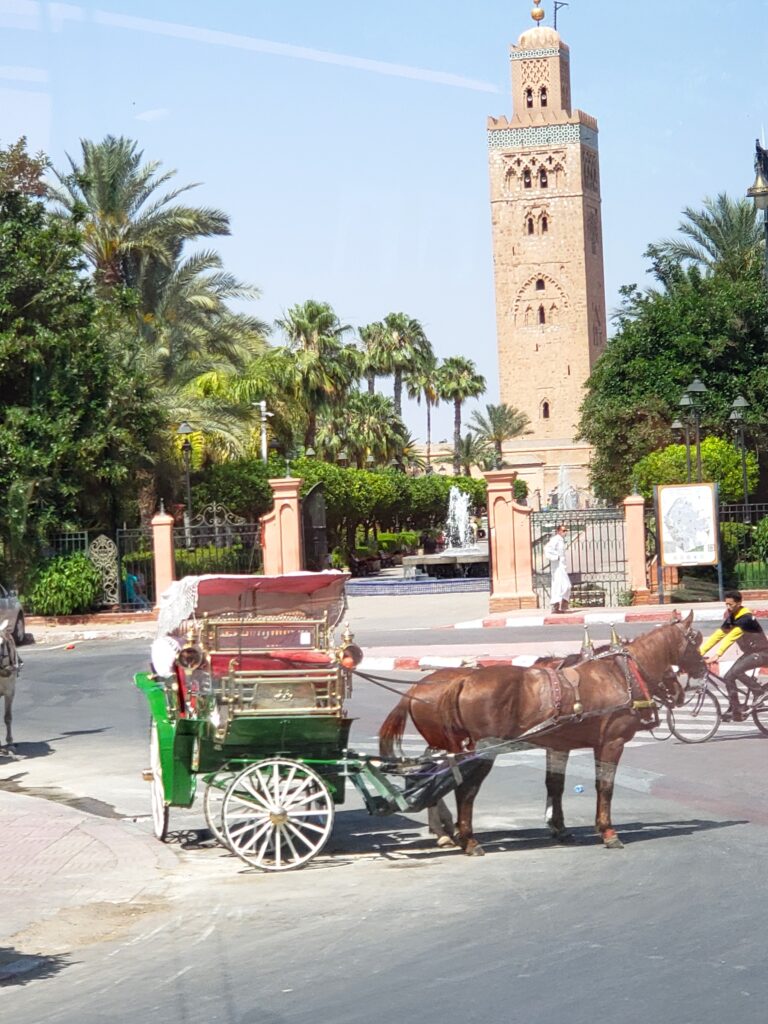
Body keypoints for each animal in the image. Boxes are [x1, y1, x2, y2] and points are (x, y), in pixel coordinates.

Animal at [380, 614, 708, 856]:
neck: (618, 675)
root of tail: (461, 681)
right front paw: (607, 831)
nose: (701, 673)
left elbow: (555, 785)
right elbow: (605, 787)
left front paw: (559, 828)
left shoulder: (559, 745)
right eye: (696, 641)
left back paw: (451, 832)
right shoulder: (611, 743)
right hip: (481, 750)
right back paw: (466, 838)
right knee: (462, 789)